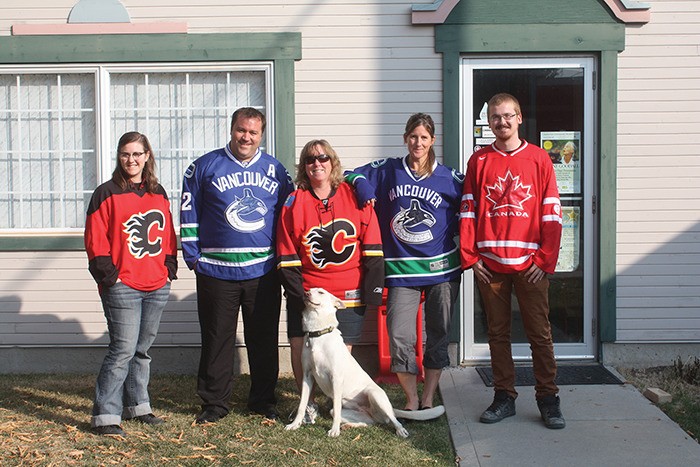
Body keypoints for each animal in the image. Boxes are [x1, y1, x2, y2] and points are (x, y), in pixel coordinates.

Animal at [288, 288, 446, 436]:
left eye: (320, 292)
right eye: (309, 290)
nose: (306, 293)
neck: (318, 334)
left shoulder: (336, 378)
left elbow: (337, 410)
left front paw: (334, 430)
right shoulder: (307, 376)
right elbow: (302, 405)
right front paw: (295, 424)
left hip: (375, 395)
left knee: (393, 420)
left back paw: (400, 430)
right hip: (358, 413)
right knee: (369, 422)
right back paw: (349, 426)